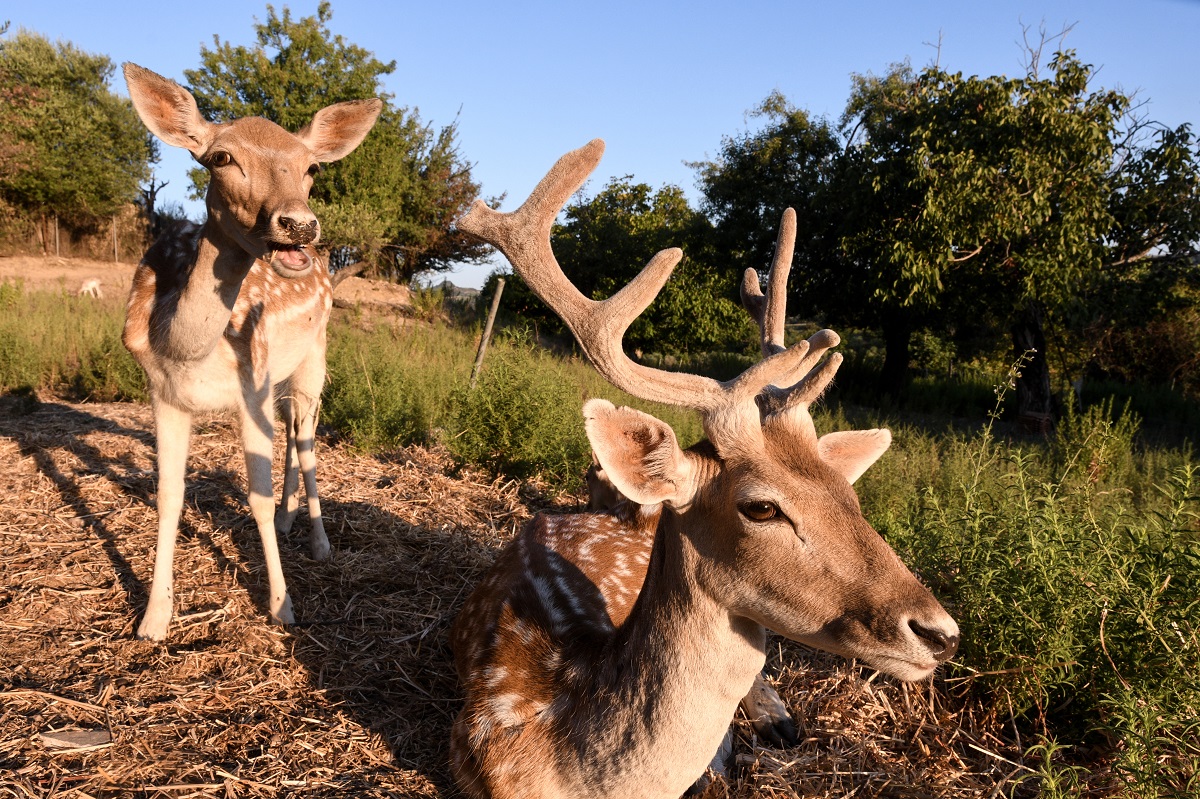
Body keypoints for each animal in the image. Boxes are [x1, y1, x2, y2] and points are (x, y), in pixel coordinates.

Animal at [117, 62, 379, 638]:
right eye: (221, 158)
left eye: (311, 168)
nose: (298, 223)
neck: (187, 349)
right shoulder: (162, 393)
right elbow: (169, 496)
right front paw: (153, 618)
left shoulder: (248, 387)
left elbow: (254, 498)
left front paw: (282, 606)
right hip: (279, 376)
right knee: (291, 431)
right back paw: (287, 520)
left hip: (313, 360)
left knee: (306, 437)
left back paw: (319, 543)